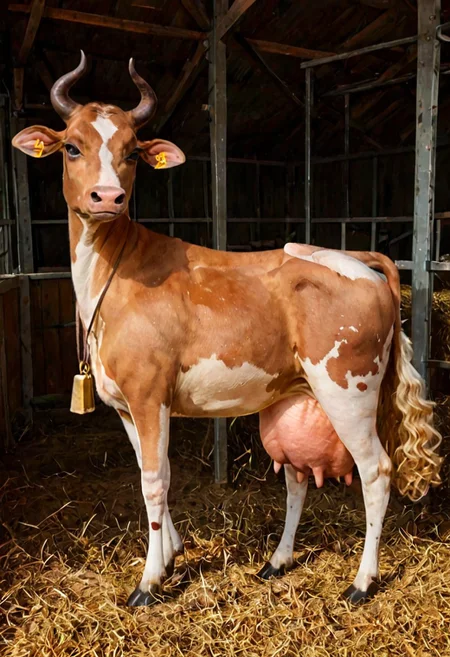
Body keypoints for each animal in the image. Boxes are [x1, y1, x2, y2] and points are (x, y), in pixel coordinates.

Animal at [13, 52, 442, 607]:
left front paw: (150, 581)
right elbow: (149, 471)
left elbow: (155, 480)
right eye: (71, 146)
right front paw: (171, 555)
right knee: (297, 479)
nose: (107, 196)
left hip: (350, 389)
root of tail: (358, 259)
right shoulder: (126, 402)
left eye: (131, 153)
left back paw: (362, 581)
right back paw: (278, 560)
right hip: (295, 394)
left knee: (377, 472)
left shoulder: (150, 393)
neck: (109, 276)